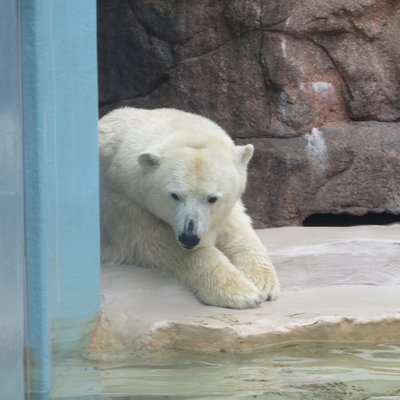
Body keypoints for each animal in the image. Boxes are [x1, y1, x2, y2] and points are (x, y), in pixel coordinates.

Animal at [98, 107, 280, 310]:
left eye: (212, 198)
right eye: (175, 195)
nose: (189, 237)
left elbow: (238, 228)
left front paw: (263, 282)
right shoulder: (122, 202)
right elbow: (159, 242)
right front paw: (241, 292)